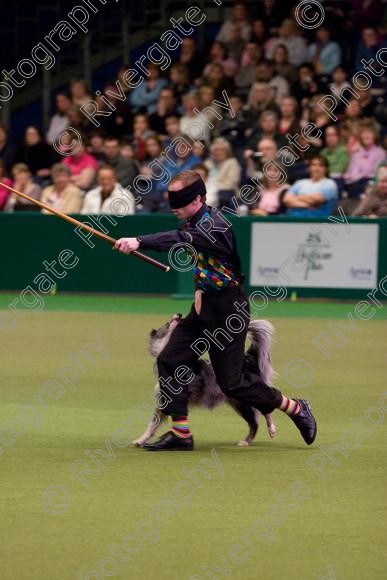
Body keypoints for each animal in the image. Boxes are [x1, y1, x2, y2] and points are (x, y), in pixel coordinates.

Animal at [134, 314, 278, 446]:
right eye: (167, 323)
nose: (179, 315)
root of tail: (248, 359)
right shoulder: (163, 400)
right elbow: (153, 424)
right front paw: (141, 440)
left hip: (242, 402)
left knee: (261, 415)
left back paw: (262, 433)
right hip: (238, 402)